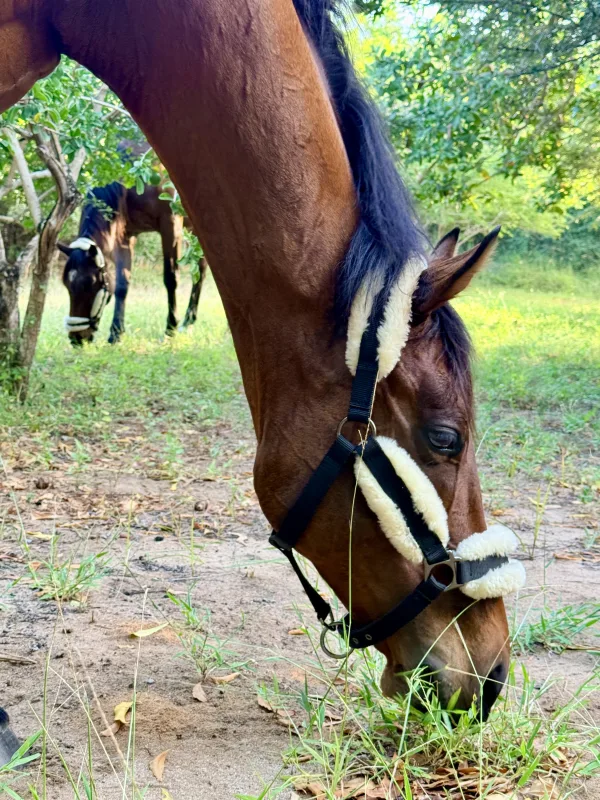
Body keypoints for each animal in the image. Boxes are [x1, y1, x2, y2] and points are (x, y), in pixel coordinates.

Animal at [58, 181, 207, 344]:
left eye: (89, 284)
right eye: (67, 285)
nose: (76, 339)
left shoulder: (171, 225)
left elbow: (171, 278)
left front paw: (171, 327)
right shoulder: (124, 237)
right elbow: (122, 285)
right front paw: (116, 333)